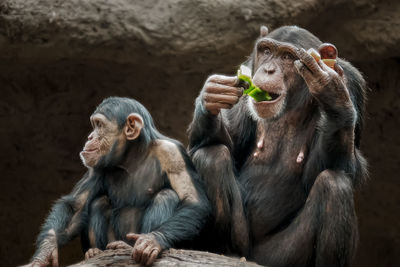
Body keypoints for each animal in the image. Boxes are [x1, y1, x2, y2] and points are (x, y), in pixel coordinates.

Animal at [26, 97, 211, 266]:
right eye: (94, 125)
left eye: (99, 125)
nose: (90, 137)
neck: (132, 156)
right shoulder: (95, 165)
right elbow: (75, 206)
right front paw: (45, 252)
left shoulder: (172, 154)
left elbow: (193, 201)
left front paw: (152, 240)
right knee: (98, 202)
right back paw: (94, 252)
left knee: (166, 196)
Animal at [189, 25, 368, 267]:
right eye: (266, 51)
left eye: (287, 57)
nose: (268, 69)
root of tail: (252, 257)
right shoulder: (249, 70)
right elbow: (228, 144)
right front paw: (211, 97)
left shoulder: (351, 83)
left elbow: (339, 168)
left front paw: (332, 93)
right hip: (244, 242)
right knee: (212, 156)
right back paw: (222, 251)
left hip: (280, 257)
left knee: (334, 185)